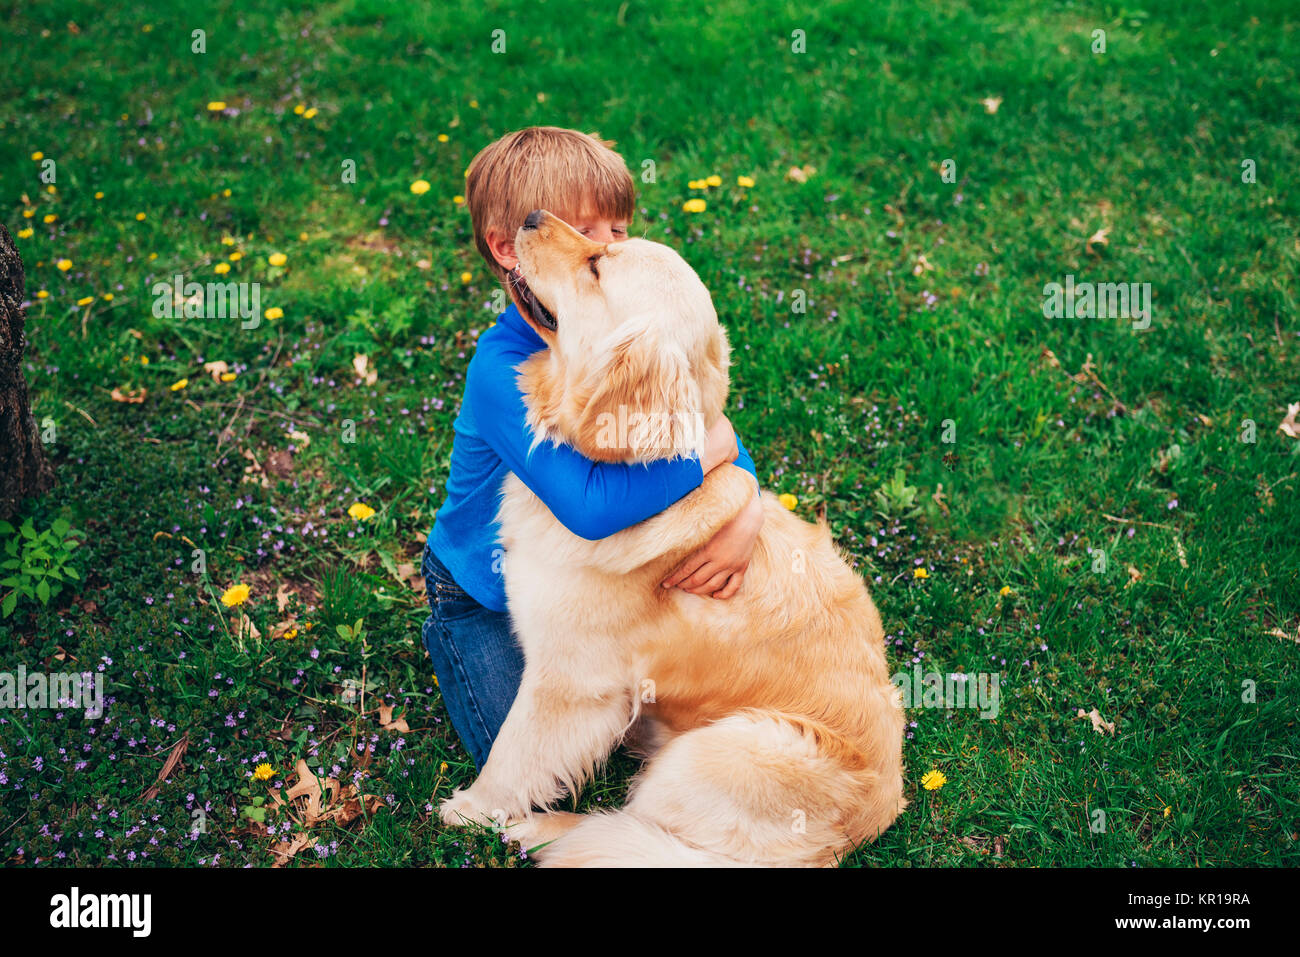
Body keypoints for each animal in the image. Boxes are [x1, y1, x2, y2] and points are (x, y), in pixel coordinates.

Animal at [436, 209, 904, 868]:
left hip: (723, 750)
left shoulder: (568, 681)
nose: (530, 216)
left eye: (596, 266)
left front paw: (472, 810)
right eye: (601, 246)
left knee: (629, 826)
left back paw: (542, 829)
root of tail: (858, 832)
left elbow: (513, 754)